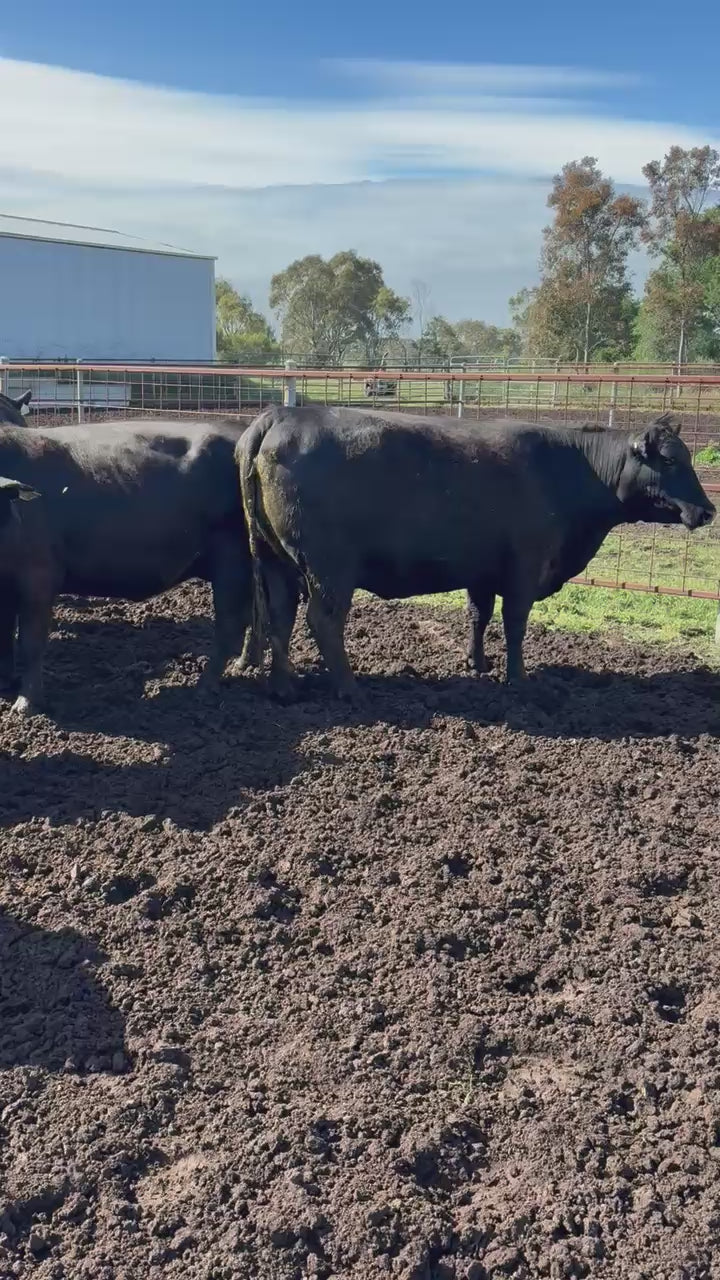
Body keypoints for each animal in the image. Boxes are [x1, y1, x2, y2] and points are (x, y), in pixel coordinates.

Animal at [0, 418, 260, 715]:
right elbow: (4, 635)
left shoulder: (39, 577)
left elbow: (30, 641)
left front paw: (26, 703)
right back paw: (245, 665)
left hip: (232, 560)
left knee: (230, 623)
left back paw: (205, 687)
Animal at [237, 405, 716, 699]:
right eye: (670, 459)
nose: (708, 510)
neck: (571, 468)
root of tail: (282, 414)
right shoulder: (525, 568)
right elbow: (515, 624)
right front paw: (517, 679)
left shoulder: (482, 571)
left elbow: (478, 615)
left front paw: (476, 662)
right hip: (330, 568)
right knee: (323, 620)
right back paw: (348, 687)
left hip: (278, 562)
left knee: (280, 616)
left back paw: (283, 686)